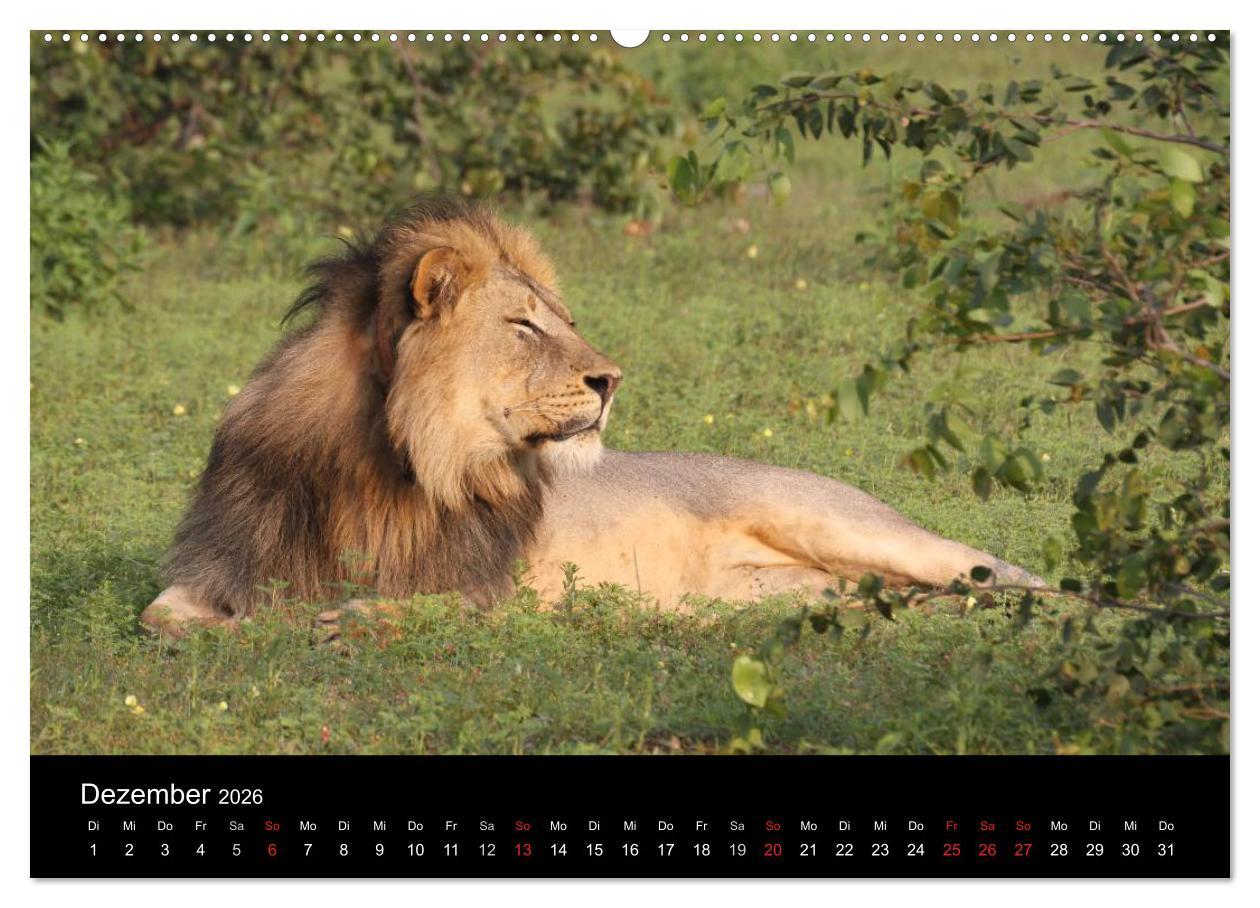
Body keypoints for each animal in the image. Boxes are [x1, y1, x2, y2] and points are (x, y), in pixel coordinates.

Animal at [141, 197, 1042, 636]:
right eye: (524, 325)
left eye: (562, 319)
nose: (612, 380)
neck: (384, 460)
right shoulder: (220, 564)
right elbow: (164, 620)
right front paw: (249, 629)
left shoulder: (492, 588)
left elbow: (410, 607)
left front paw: (344, 622)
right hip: (764, 595)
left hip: (845, 523)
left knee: (1002, 571)